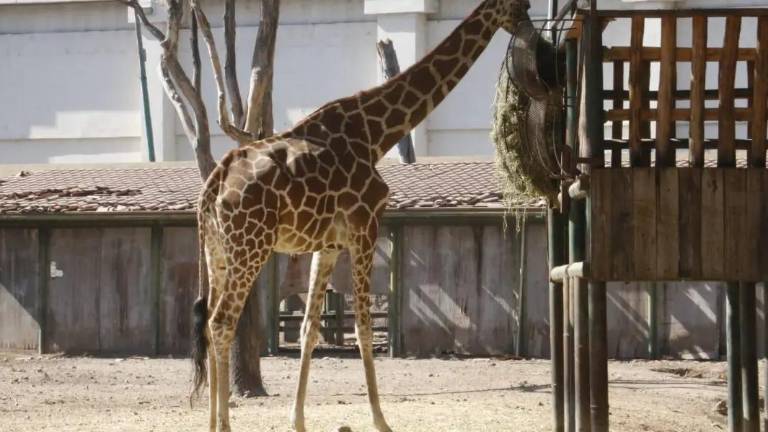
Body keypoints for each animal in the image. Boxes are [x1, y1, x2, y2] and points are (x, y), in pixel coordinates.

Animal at [190, 1, 532, 431]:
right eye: (520, 5)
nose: (530, 28)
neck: (376, 133)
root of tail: (214, 182)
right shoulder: (366, 226)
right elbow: (365, 327)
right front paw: (381, 420)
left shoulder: (330, 244)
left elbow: (310, 328)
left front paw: (298, 420)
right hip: (251, 247)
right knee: (222, 322)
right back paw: (223, 424)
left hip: (218, 251)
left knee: (208, 322)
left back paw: (212, 421)